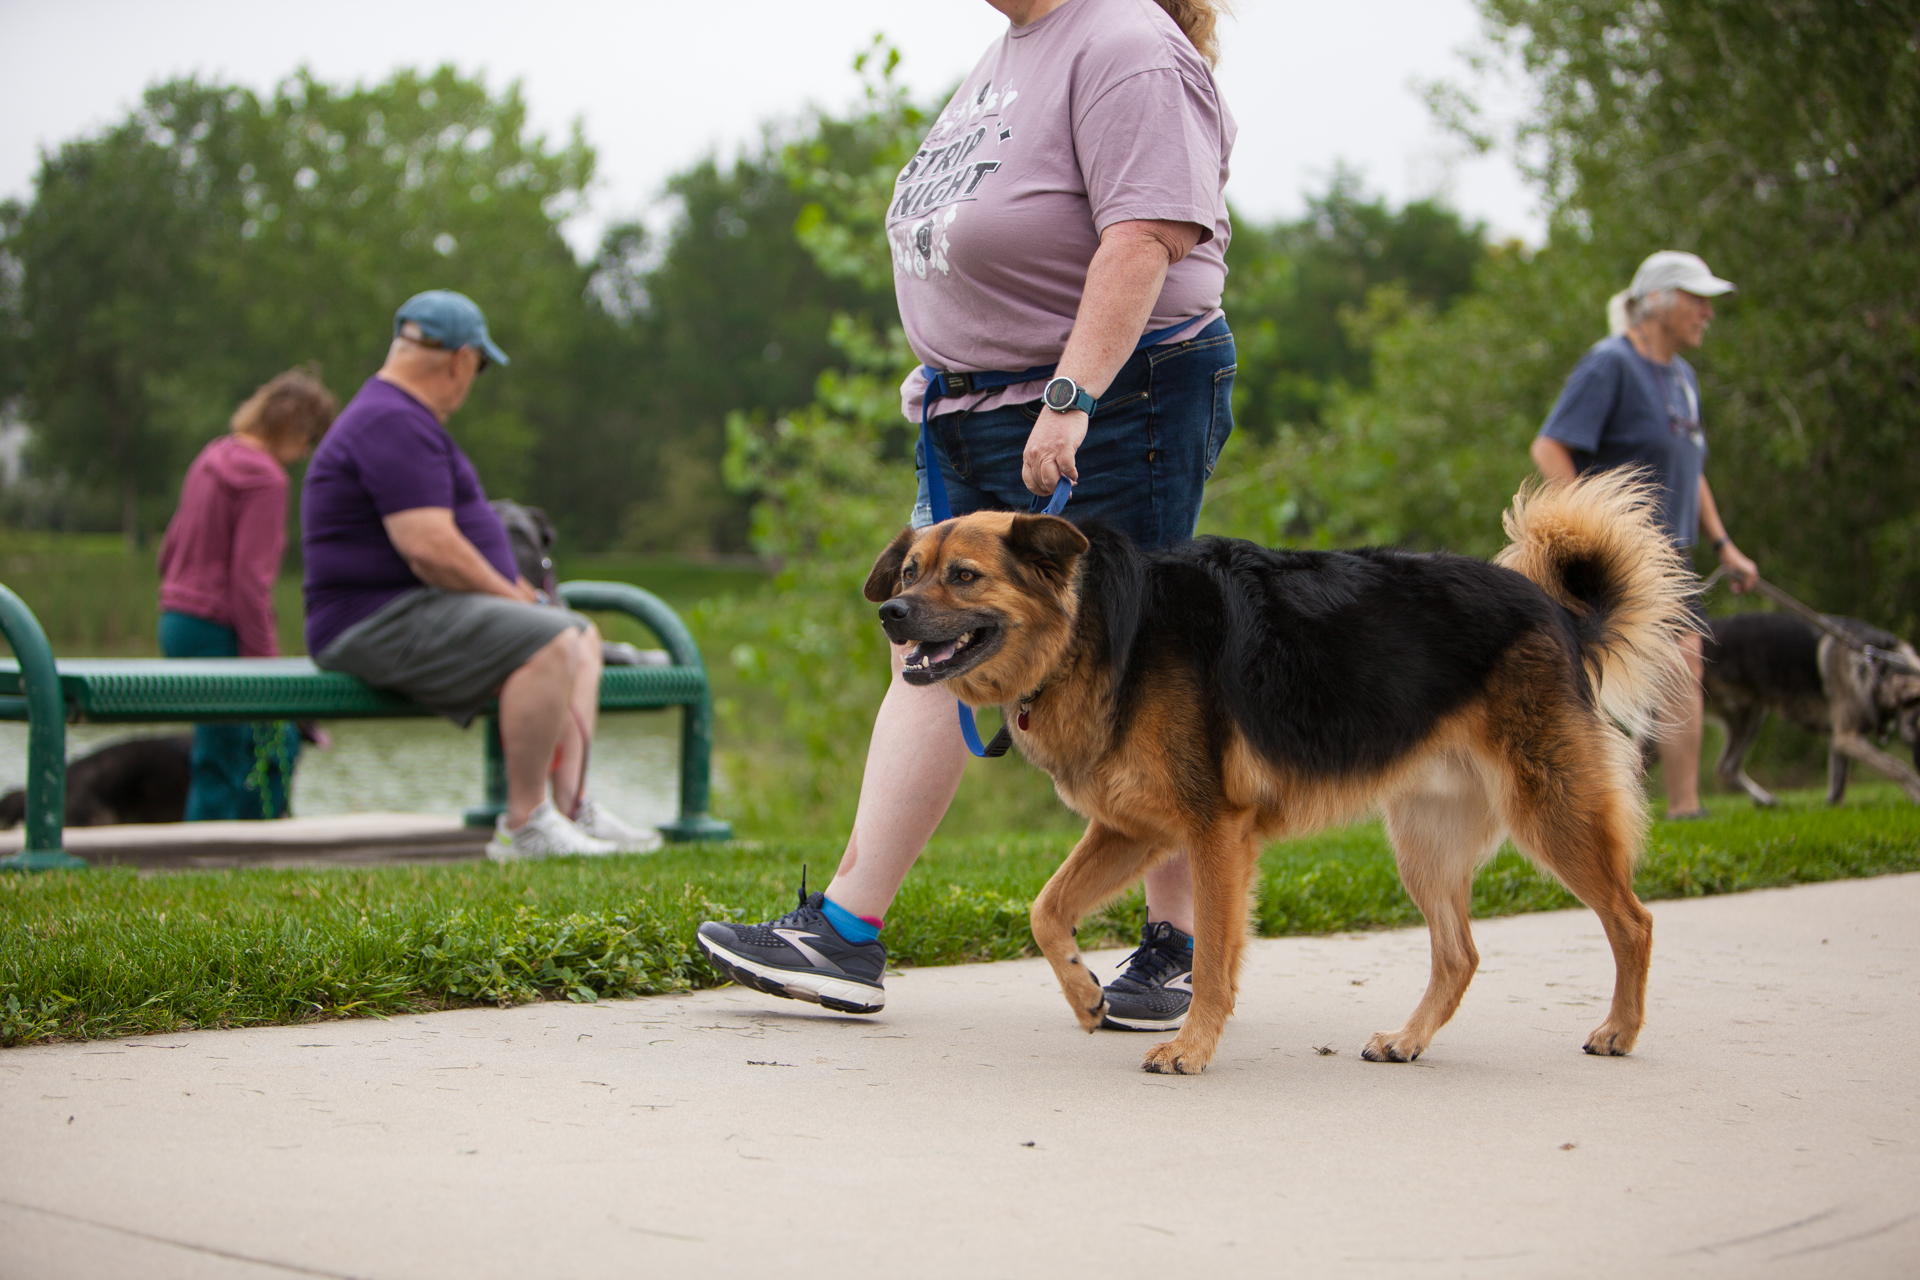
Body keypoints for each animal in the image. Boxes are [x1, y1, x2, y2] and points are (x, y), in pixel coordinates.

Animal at [871, 475, 1697, 1074]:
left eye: (965, 576)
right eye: (910, 571)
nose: (891, 613)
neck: (1100, 630)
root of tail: (1560, 614)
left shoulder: (1213, 833)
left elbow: (1210, 957)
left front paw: (1191, 1049)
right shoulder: (1134, 828)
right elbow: (1046, 910)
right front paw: (1083, 994)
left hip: (1551, 812)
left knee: (1635, 921)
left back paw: (1619, 1030)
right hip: (1424, 842)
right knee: (1460, 954)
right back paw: (1408, 1040)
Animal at [1704, 614, 1920, 805]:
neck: (1877, 669)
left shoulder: (1840, 739)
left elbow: (1838, 785)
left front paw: (1832, 808)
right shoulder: (1846, 736)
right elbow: (1897, 766)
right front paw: (1915, 790)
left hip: (1749, 715)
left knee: (1727, 767)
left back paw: (1764, 800)